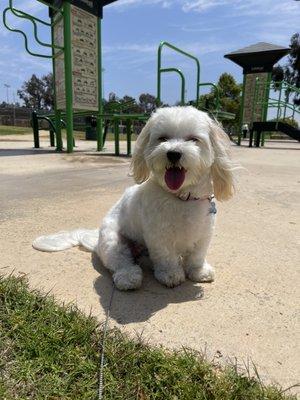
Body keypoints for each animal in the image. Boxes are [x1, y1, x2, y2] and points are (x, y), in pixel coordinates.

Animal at [96, 106, 234, 290]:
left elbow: (197, 255)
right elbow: (166, 256)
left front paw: (198, 271)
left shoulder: (204, 232)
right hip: (112, 240)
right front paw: (170, 274)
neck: (182, 197)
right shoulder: (159, 236)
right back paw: (128, 276)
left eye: (193, 139)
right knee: (119, 260)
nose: (173, 153)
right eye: (163, 138)